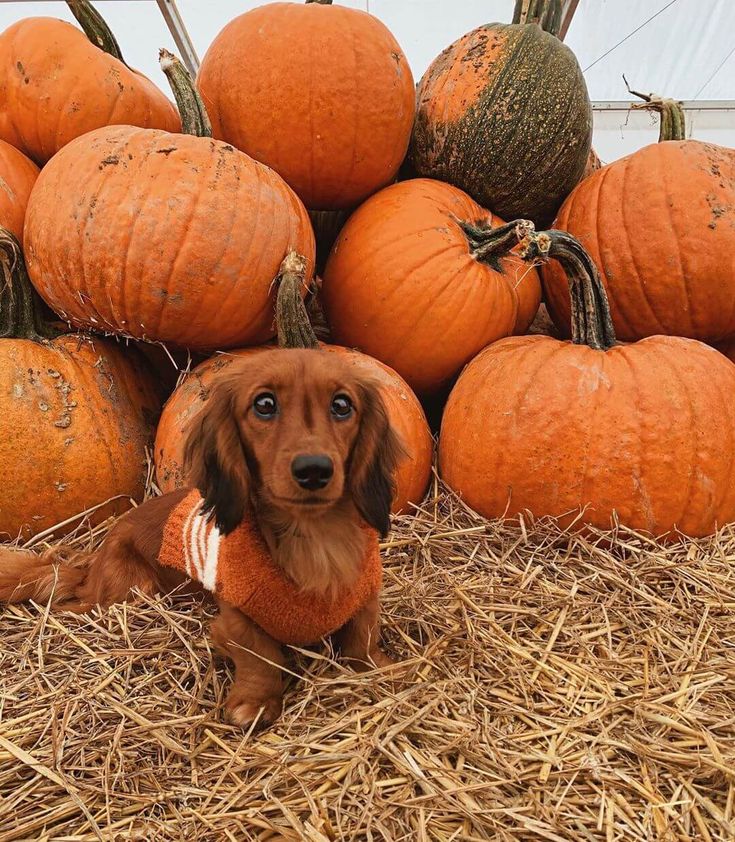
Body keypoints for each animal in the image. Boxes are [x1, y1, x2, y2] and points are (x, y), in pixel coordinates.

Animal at [0, 350, 402, 728]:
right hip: (131, 590)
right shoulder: (234, 619)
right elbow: (261, 656)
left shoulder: (365, 597)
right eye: (264, 404)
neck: (314, 538)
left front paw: (377, 667)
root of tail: (95, 559)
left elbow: (362, 637)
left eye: (342, 405)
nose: (314, 470)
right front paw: (255, 701)